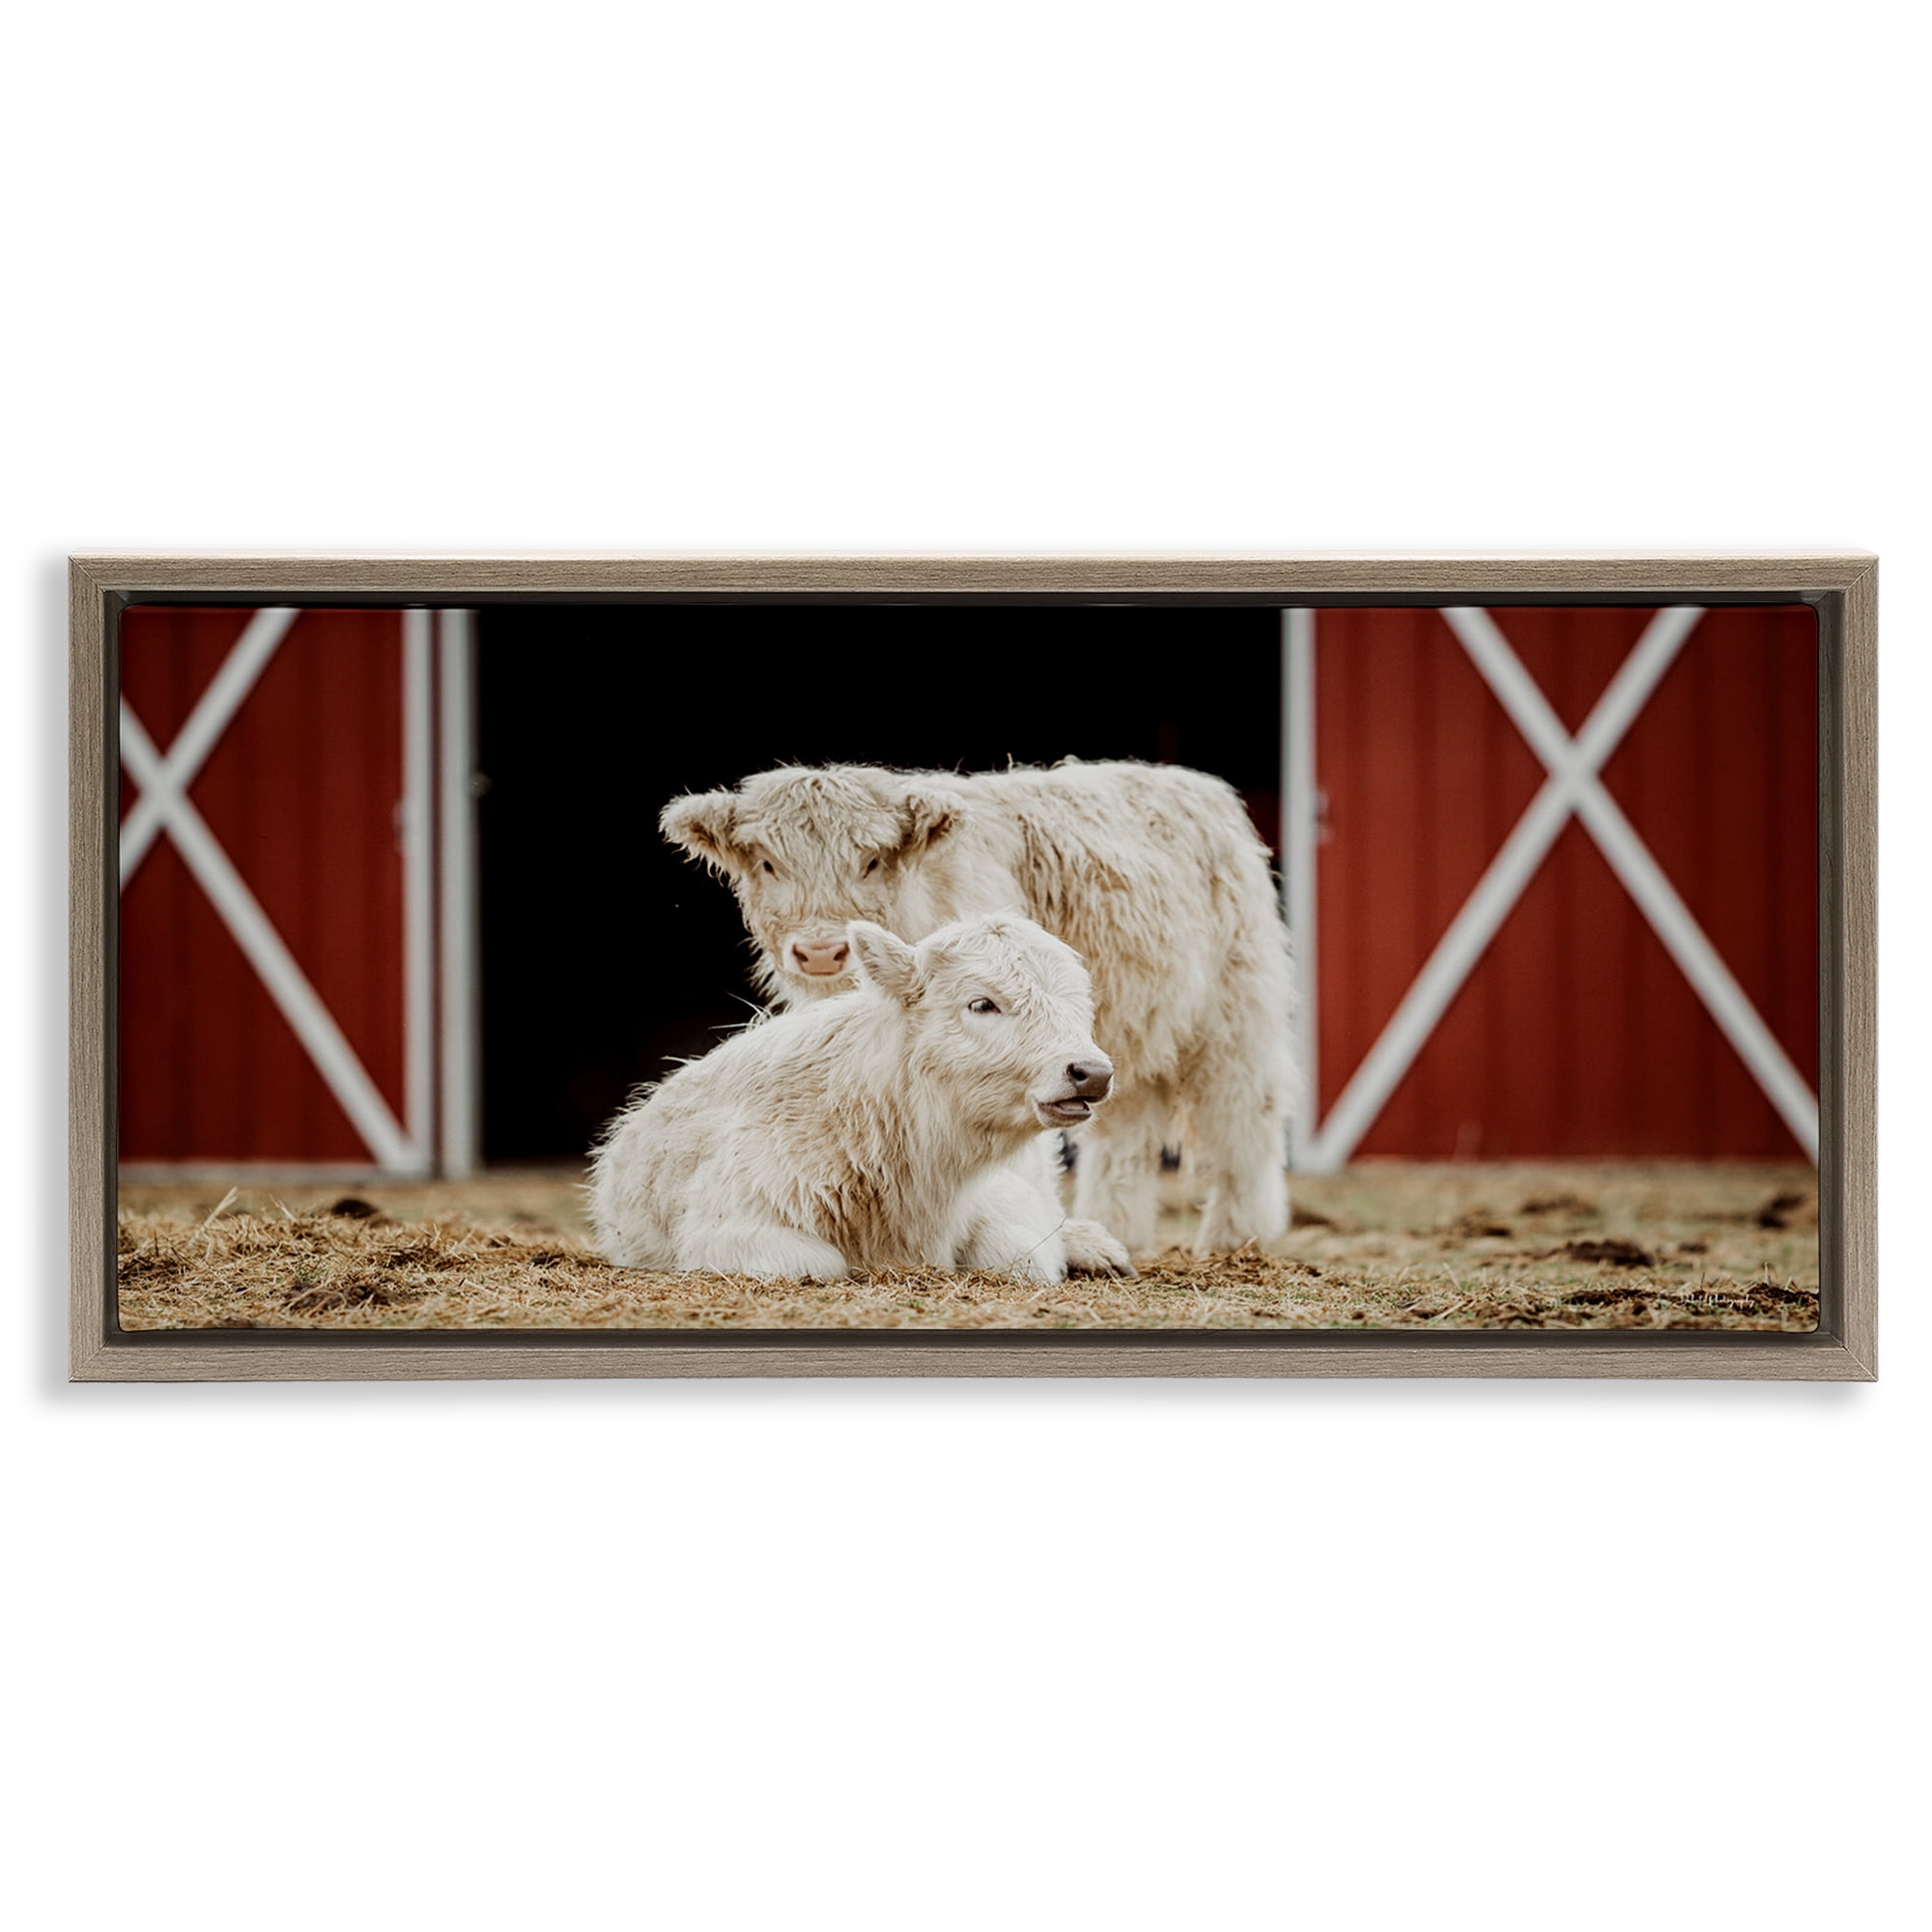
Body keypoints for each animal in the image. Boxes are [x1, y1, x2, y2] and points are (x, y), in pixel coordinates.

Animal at [587, 912, 1137, 1283]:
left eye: (1080, 1005)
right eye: (982, 1003)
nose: (1091, 1073)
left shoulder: (1003, 1195)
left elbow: (1021, 1256)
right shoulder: (725, 1226)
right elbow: (821, 1263)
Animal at [660, 759, 1295, 1257]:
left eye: (872, 862)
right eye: (769, 864)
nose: (820, 950)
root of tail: (1192, 783)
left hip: (1234, 1018)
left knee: (1246, 1118)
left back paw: (1237, 1236)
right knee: (1126, 1137)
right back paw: (1119, 1229)